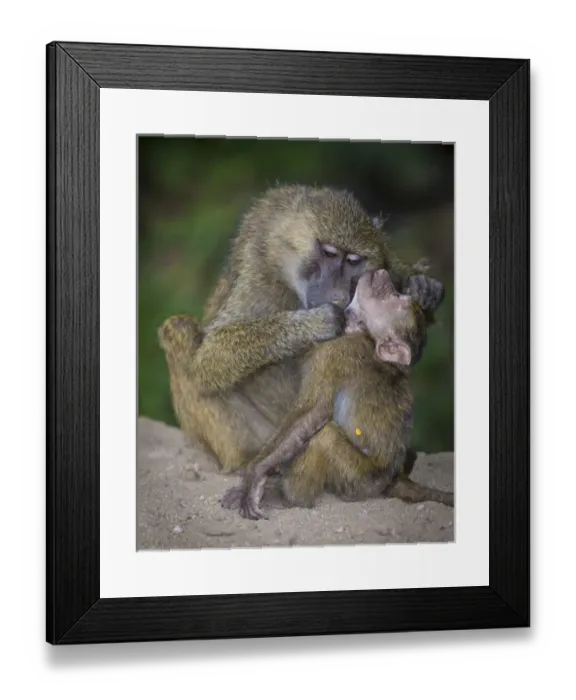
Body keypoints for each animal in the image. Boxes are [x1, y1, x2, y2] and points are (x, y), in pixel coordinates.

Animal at [158, 185, 445, 477]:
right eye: (329, 253)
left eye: (353, 261)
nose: (338, 294)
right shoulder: (261, 269)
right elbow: (211, 358)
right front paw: (318, 322)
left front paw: (421, 288)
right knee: (177, 329)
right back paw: (244, 462)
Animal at [221, 267, 454, 520]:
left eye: (395, 297)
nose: (383, 275)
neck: (365, 334)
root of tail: (393, 478)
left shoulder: (336, 350)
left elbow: (314, 411)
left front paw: (256, 474)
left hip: (360, 481)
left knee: (326, 436)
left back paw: (289, 497)